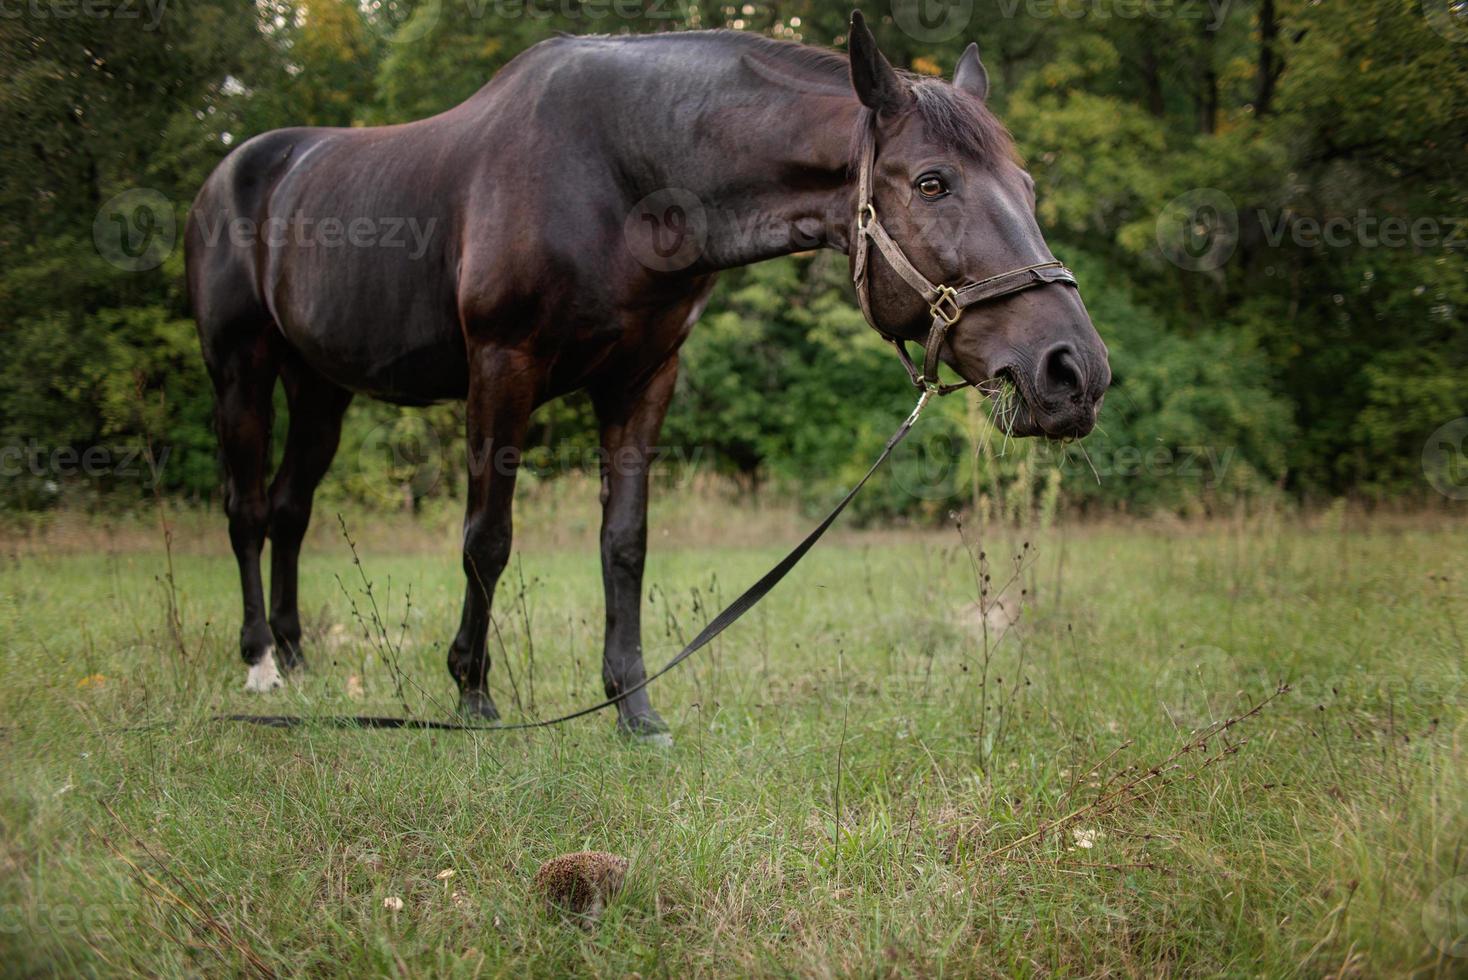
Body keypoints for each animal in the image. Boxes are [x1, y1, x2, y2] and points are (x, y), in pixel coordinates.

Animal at [183, 15, 1103, 739]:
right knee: (247, 512)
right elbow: (488, 537)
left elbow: (624, 541)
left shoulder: (643, 376)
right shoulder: (502, 366)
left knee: (291, 511)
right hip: (241, 371)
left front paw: (633, 708)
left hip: (321, 386)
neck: (619, 173)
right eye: (932, 182)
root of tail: (235, 172)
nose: (1074, 371)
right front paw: (473, 696)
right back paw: (261, 662)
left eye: (1026, 185)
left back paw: (296, 655)